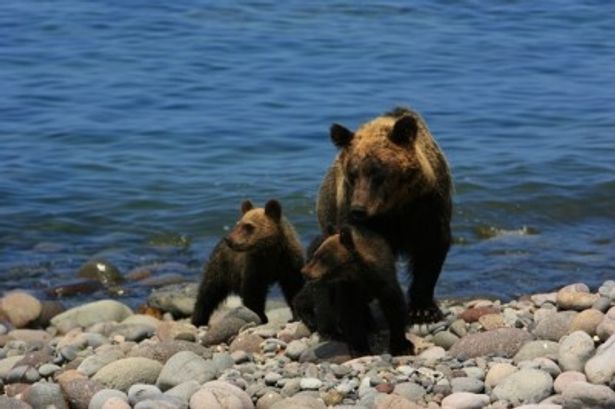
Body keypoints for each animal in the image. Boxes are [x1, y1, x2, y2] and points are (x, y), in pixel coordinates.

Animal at [298, 225, 414, 356]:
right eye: (317, 255)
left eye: (322, 257)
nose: (304, 271)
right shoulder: (349, 287)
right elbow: (351, 314)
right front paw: (360, 349)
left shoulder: (385, 281)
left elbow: (394, 307)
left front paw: (402, 346)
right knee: (322, 303)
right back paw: (329, 330)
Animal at [318, 107, 452, 324]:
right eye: (352, 173)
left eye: (377, 172)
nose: (358, 209)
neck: (394, 208)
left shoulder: (427, 207)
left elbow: (431, 250)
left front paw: (424, 310)